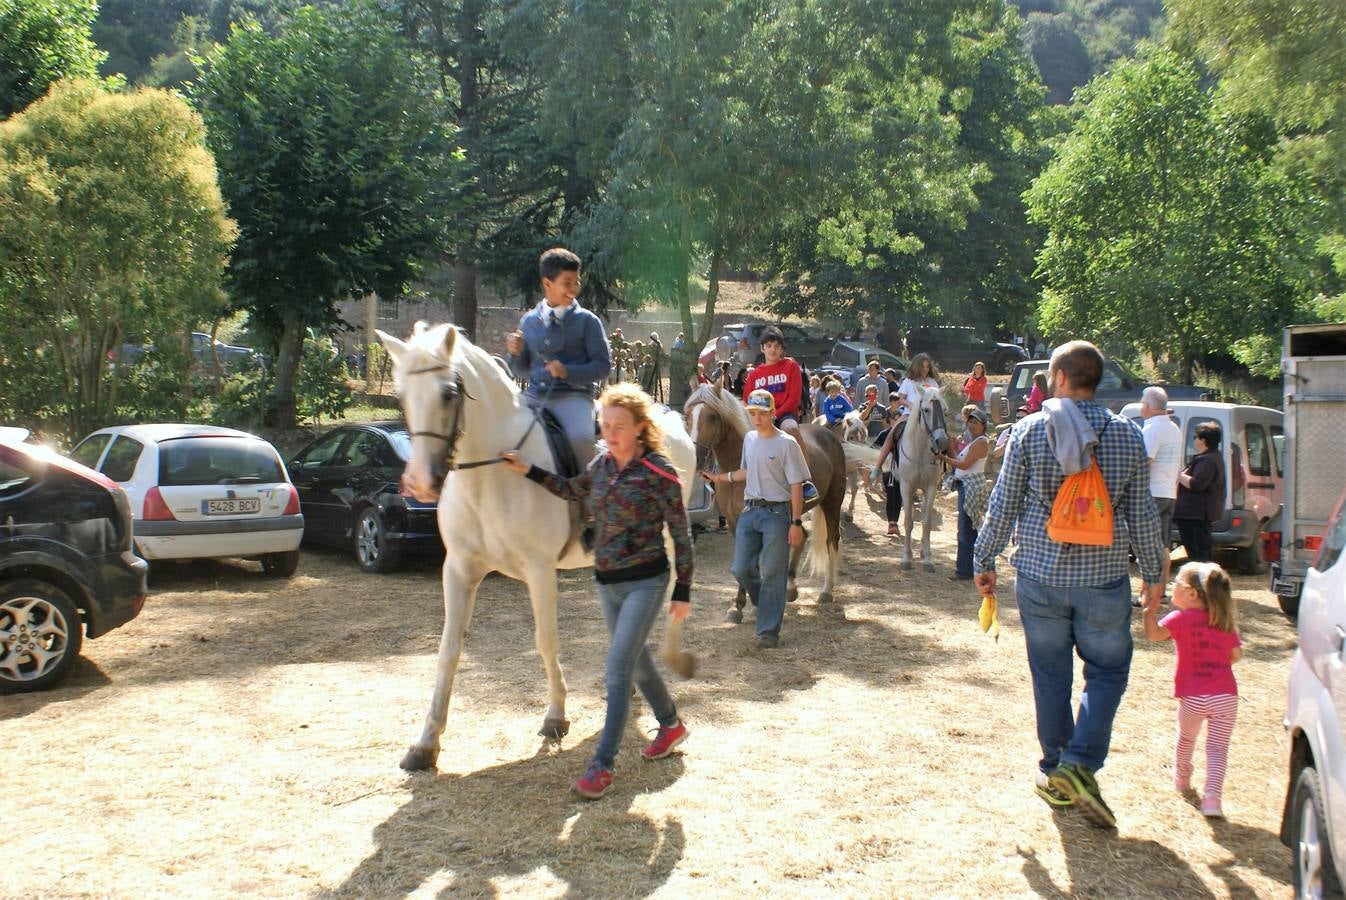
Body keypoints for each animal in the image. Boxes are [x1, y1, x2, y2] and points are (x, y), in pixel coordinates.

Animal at [379, 318, 694, 769]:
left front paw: (556, 716)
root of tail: (669, 418)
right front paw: (426, 743)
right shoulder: (457, 569)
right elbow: (448, 650)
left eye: (448, 393)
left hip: (667, 539)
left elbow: (545, 641)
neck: (490, 476)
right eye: (402, 395)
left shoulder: (539, 569)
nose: (420, 483)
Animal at [683, 382, 839, 621]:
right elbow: (744, 561)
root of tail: (827, 433)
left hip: (832, 502)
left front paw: (755, 604)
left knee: (832, 540)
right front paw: (737, 606)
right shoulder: (734, 522)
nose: (696, 459)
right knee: (802, 536)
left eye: (712, 416)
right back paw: (790, 587)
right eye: (688, 415)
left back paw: (826, 591)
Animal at [899, 384, 952, 567]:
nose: (941, 441)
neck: (920, 452)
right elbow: (908, 521)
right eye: (926, 410)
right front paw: (907, 557)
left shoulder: (930, 487)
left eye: (945, 411)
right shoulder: (906, 486)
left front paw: (928, 557)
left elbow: (927, 522)